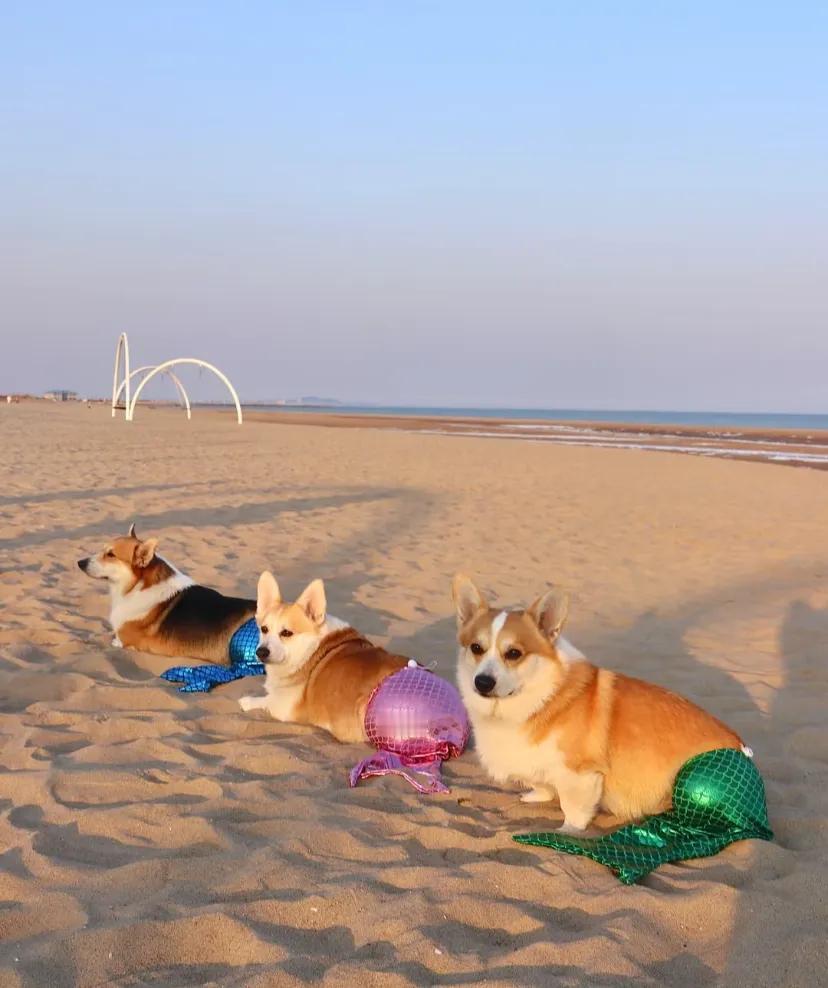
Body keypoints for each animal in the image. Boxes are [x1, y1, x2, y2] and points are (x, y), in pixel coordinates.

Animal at [81, 524, 258, 664]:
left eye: (111, 555)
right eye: (103, 550)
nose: (79, 563)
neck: (137, 586)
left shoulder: (125, 641)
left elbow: (115, 640)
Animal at [238, 572, 410, 740]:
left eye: (286, 633)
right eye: (264, 629)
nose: (260, 652)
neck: (310, 648)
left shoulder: (283, 707)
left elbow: (261, 700)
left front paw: (246, 701)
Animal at [450, 576, 748, 828]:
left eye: (513, 653)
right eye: (476, 648)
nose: (482, 682)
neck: (541, 697)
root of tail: (743, 749)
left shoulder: (580, 775)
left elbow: (573, 811)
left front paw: (567, 832)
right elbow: (543, 785)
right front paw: (536, 796)